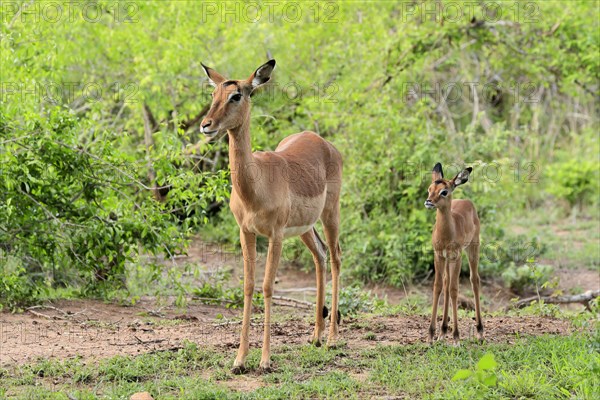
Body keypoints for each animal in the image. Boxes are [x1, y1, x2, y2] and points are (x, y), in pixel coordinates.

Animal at [200, 61, 342, 374]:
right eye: (214, 93)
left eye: (236, 95)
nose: (206, 124)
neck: (256, 186)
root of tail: (323, 141)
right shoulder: (246, 232)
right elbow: (248, 286)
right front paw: (239, 360)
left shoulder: (275, 235)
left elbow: (266, 287)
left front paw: (264, 360)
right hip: (304, 228)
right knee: (320, 255)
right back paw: (315, 336)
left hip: (330, 214)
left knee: (336, 257)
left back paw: (332, 340)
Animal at [424, 162, 480, 344]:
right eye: (429, 189)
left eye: (444, 191)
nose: (428, 202)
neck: (447, 234)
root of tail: (467, 202)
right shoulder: (439, 255)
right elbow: (438, 287)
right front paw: (431, 335)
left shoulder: (457, 256)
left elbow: (455, 290)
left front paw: (456, 337)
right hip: (448, 259)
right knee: (447, 283)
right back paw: (442, 332)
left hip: (473, 249)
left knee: (474, 280)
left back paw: (480, 331)